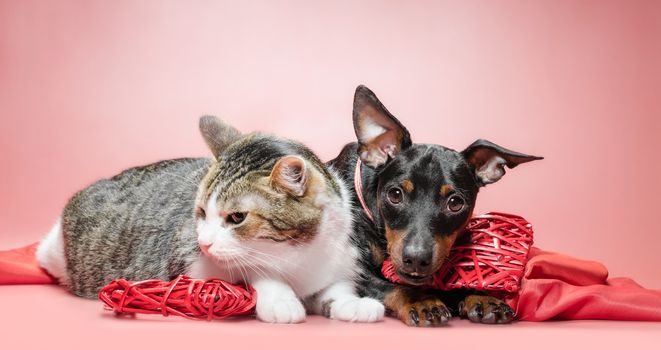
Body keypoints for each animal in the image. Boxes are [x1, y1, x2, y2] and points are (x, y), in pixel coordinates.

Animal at [328, 86, 540, 326]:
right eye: (395, 195)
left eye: (455, 203)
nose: (416, 259)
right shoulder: (356, 272)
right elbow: (393, 287)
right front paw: (422, 301)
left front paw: (481, 296)